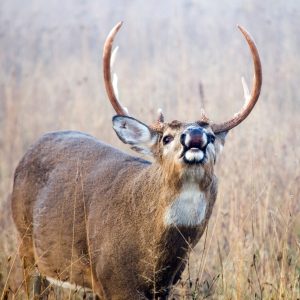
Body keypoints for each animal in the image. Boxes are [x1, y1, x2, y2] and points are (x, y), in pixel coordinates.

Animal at [10, 21, 262, 300]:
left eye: (211, 136)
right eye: (166, 137)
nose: (195, 136)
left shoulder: (164, 285)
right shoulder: (111, 280)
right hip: (25, 244)